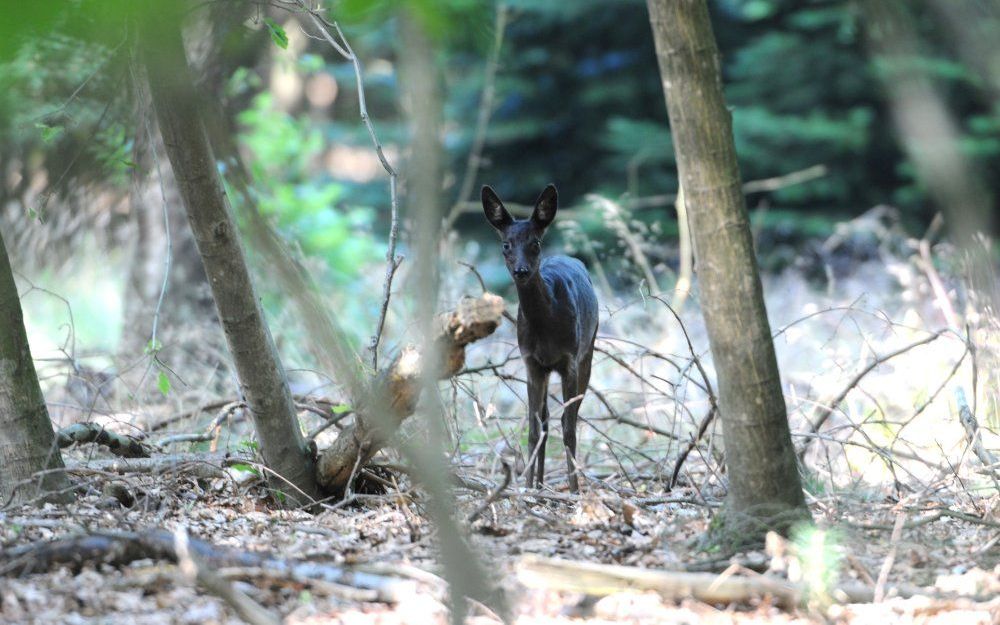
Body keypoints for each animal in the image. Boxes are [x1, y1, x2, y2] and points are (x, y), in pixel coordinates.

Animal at [480, 183, 596, 490]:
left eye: (536, 243)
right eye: (506, 244)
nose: (521, 270)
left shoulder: (569, 359)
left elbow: (568, 427)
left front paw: (574, 490)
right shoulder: (531, 361)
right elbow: (533, 428)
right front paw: (528, 486)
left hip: (588, 352)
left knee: (571, 416)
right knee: (544, 419)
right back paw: (540, 484)